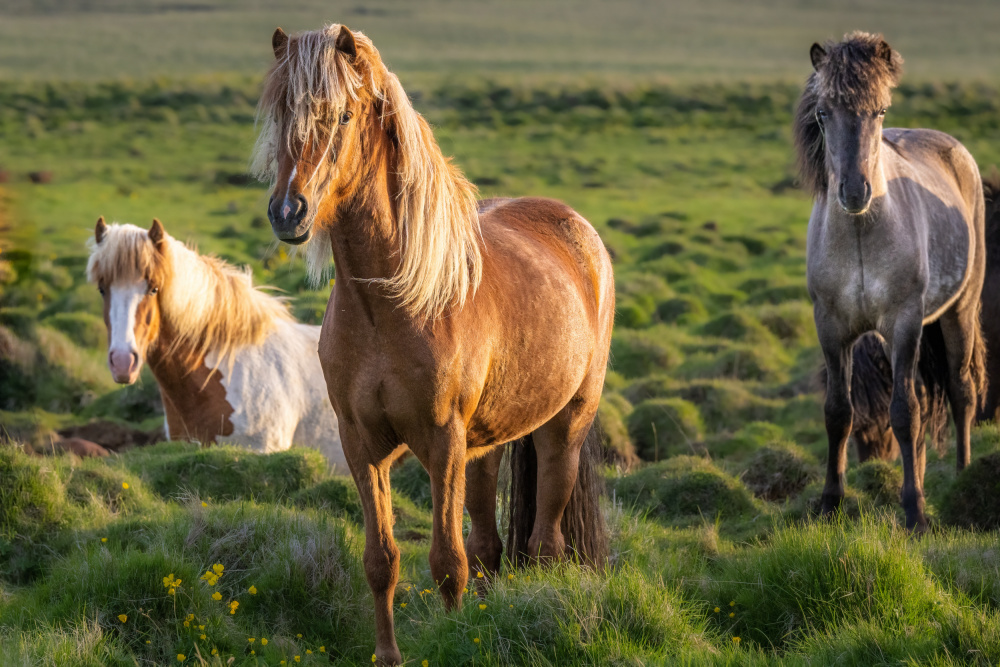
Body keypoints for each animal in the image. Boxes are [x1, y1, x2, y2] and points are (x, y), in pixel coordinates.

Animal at [252, 23, 608, 664]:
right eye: (282, 112)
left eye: (343, 115)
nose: (288, 212)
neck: (390, 304)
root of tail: (578, 230)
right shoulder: (361, 443)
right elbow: (382, 560)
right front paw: (389, 654)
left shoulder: (443, 442)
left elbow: (446, 561)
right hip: (487, 443)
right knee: (491, 546)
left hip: (565, 425)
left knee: (544, 543)